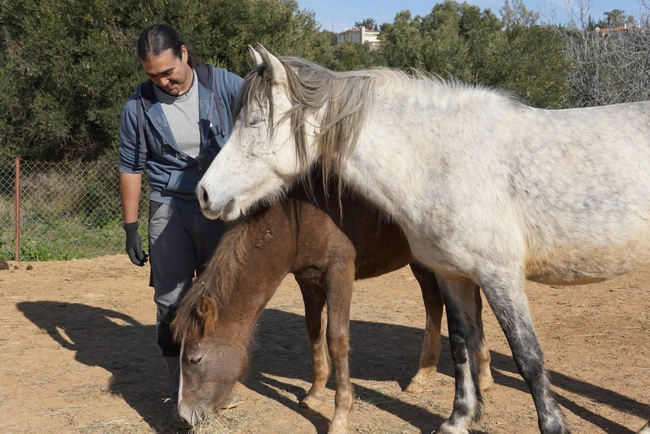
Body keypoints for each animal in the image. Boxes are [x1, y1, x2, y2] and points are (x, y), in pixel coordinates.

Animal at [171, 178, 493, 432]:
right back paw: (422, 376)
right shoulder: (307, 279)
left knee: (470, 307)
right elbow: (315, 330)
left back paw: (484, 376)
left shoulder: (340, 273)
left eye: (195, 359)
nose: (185, 416)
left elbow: (336, 338)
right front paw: (315, 393)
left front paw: (340, 417)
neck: (297, 221)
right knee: (434, 303)